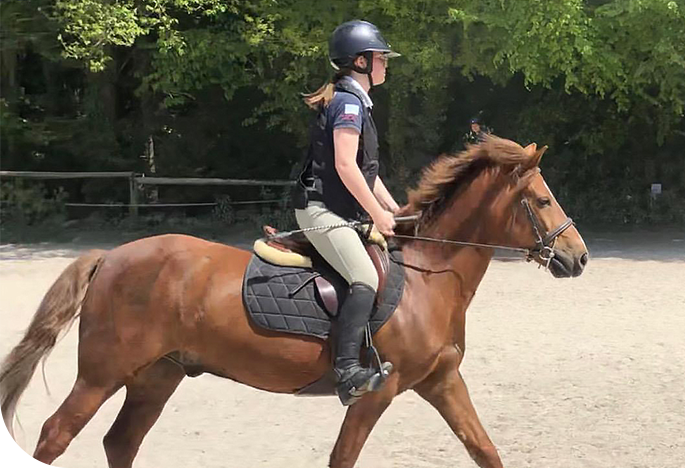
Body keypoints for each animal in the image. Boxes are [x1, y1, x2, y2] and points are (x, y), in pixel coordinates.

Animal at [0, 136, 588, 468]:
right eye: (542, 200)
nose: (578, 257)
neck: (429, 277)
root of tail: (111, 257)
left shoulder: (442, 381)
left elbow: (484, 450)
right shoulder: (376, 391)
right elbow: (342, 458)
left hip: (156, 377)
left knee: (121, 443)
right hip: (102, 374)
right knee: (54, 437)